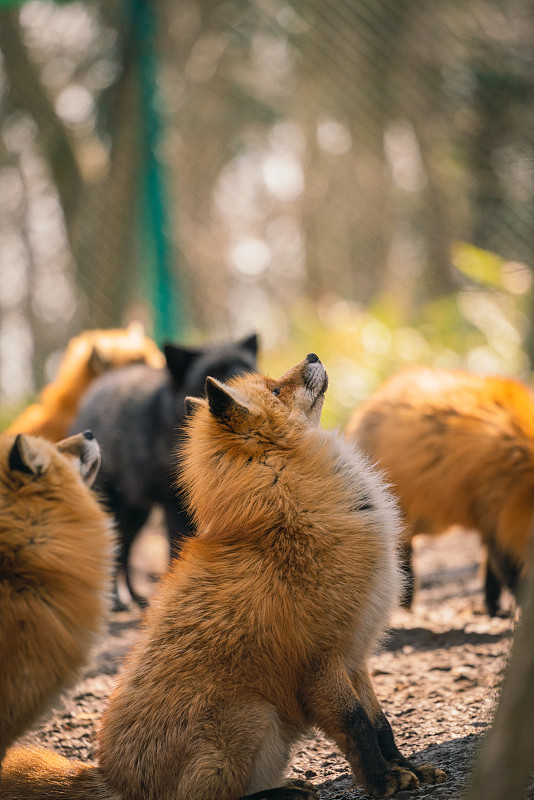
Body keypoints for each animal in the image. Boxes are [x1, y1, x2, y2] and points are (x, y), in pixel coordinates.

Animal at [70, 332, 258, 608]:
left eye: (246, 367)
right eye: (213, 372)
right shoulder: (175, 504)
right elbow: (176, 549)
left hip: (139, 513)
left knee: (125, 551)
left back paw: (135, 597)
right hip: (113, 507)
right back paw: (115, 600)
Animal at [346, 366, 534, 616]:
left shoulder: (493, 523)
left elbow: (492, 576)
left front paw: (493, 609)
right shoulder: (499, 520)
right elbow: (512, 577)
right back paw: (404, 605)